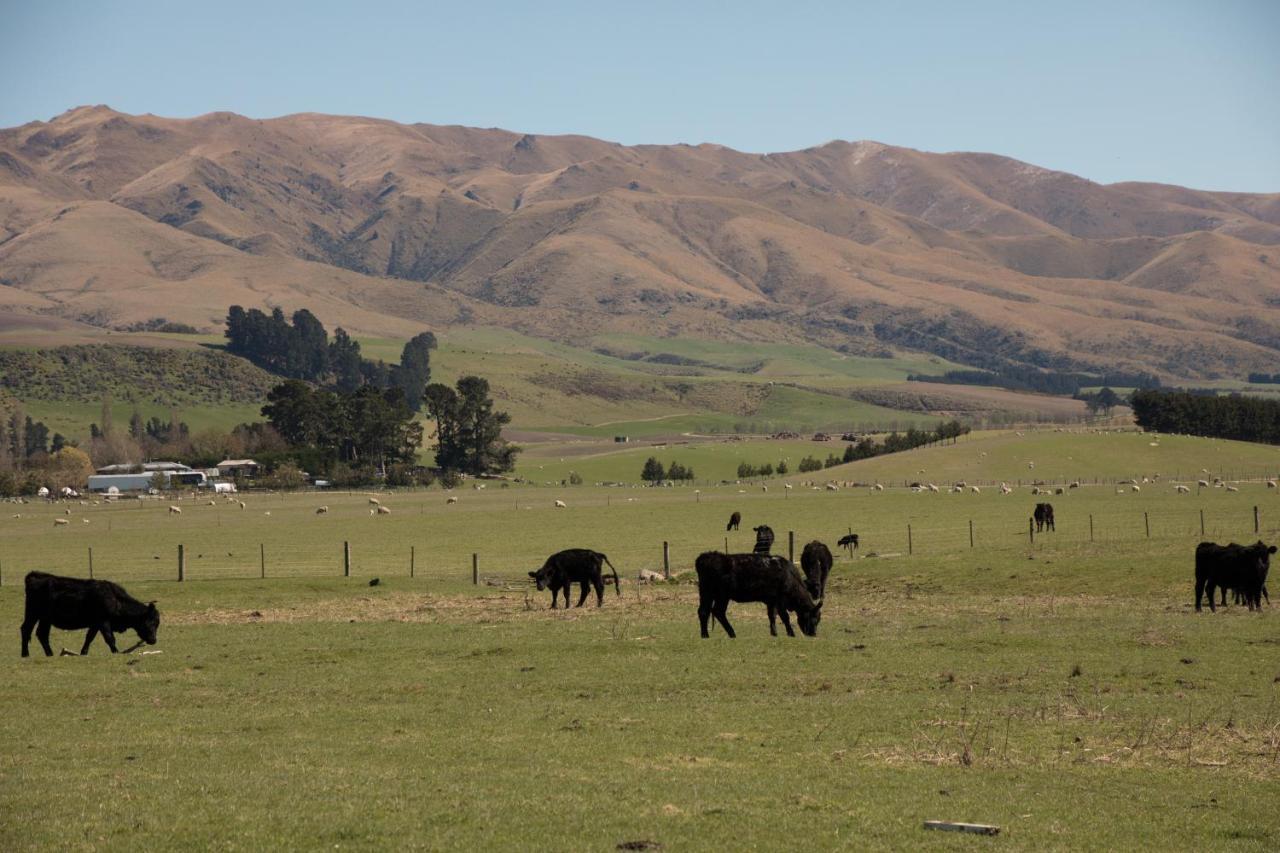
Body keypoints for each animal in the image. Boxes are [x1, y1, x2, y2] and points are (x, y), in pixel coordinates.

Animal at [21, 571, 160, 655]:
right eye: (151, 621)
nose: (153, 640)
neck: (115, 599)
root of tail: (35, 576)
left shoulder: (95, 624)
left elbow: (89, 638)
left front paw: (84, 652)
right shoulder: (103, 622)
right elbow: (110, 638)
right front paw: (116, 652)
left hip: (45, 619)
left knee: (41, 634)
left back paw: (49, 654)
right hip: (32, 614)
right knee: (26, 630)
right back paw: (25, 654)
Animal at [696, 548, 824, 635]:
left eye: (818, 620)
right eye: (812, 618)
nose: (813, 634)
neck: (789, 576)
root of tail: (707, 556)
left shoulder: (771, 601)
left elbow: (772, 616)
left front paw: (774, 633)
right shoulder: (780, 601)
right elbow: (785, 617)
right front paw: (791, 634)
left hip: (709, 594)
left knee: (705, 611)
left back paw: (707, 635)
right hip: (720, 595)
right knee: (716, 611)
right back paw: (729, 633)